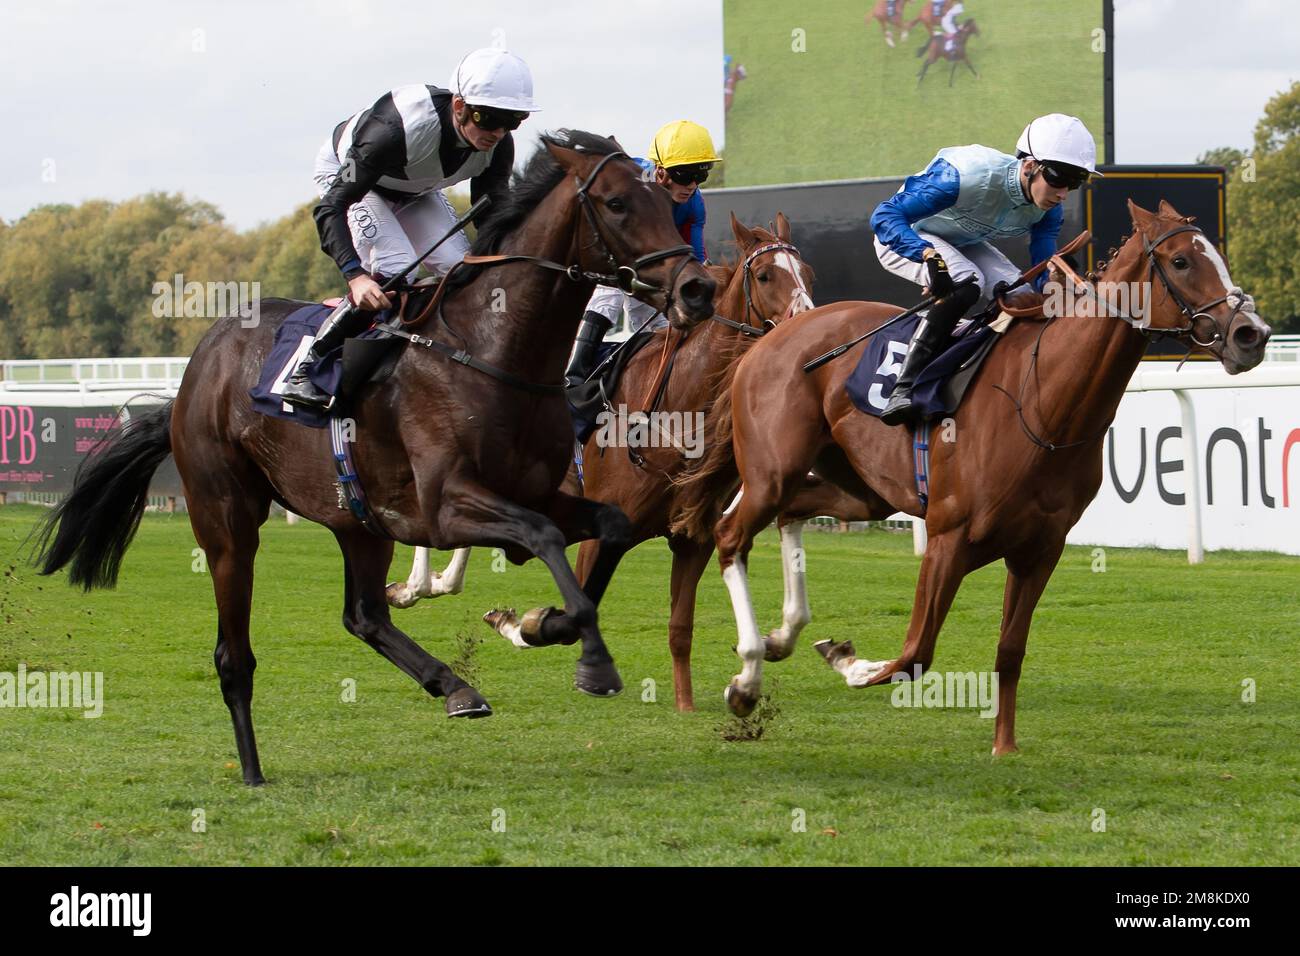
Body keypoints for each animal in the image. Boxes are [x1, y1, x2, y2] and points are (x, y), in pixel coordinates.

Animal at [30, 128, 717, 785]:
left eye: (671, 207)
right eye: (618, 203)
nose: (698, 287)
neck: (494, 348)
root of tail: (199, 366)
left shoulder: (540, 492)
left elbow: (609, 528)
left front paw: (543, 626)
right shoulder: (447, 508)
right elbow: (545, 537)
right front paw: (592, 661)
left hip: (359, 517)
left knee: (362, 615)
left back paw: (456, 688)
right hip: (226, 516)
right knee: (234, 652)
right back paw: (251, 769)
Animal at [681, 200, 1268, 754]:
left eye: (1216, 255)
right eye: (1181, 260)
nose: (1252, 334)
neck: (1044, 402)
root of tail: (772, 336)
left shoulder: (1040, 549)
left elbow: (1010, 650)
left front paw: (1003, 744)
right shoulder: (948, 537)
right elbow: (914, 654)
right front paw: (849, 661)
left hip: (861, 490)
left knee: (791, 512)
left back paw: (782, 635)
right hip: (771, 472)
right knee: (731, 535)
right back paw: (747, 679)